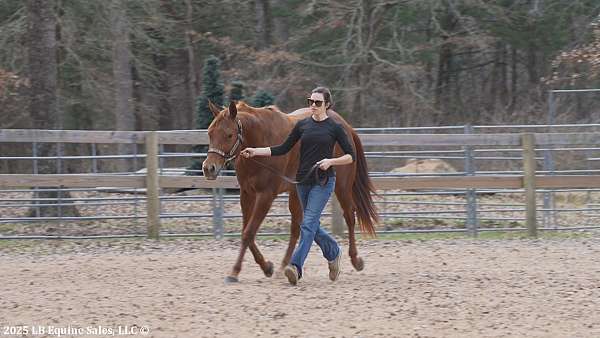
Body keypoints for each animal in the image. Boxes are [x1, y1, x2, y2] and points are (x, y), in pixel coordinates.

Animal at [204, 100, 378, 282]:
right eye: (210, 133)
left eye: (229, 135)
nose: (208, 168)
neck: (261, 139)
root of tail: (346, 126)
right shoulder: (246, 194)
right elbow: (247, 232)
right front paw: (267, 267)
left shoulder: (266, 196)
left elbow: (248, 233)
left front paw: (235, 271)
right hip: (296, 193)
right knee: (298, 226)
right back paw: (286, 267)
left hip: (342, 186)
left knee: (349, 216)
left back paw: (355, 259)